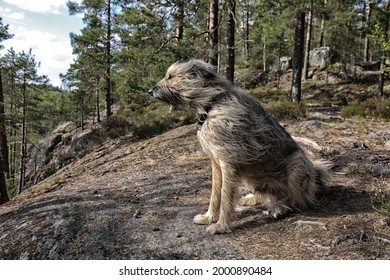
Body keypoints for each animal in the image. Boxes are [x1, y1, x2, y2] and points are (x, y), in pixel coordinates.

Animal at [149, 59, 330, 234]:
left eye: (170, 77)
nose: (150, 91)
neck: (210, 105)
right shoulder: (216, 164)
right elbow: (215, 194)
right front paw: (209, 217)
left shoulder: (228, 163)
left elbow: (226, 197)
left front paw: (221, 226)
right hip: (252, 177)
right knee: (266, 194)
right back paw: (252, 198)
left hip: (297, 164)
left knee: (298, 200)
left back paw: (280, 207)